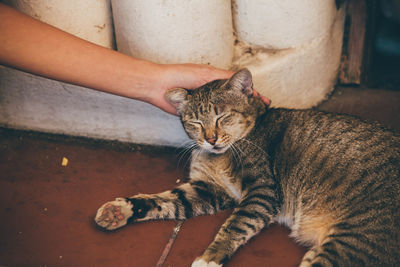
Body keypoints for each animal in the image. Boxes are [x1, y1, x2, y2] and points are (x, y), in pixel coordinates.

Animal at [94, 69, 400, 267]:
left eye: (222, 116)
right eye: (195, 123)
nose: (211, 139)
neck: (220, 155)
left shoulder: (262, 191)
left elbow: (235, 224)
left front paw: (209, 258)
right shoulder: (208, 190)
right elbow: (165, 201)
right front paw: (120, 210)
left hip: (354, 240)